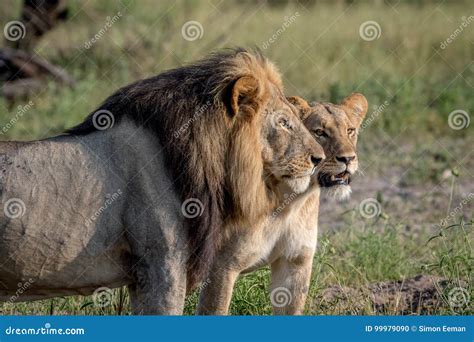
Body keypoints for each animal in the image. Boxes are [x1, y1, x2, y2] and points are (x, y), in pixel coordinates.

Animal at [196, 93, 366, 316]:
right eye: (319, 132)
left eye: (350, 131)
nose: (348, 158)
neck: (290, 202)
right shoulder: (221, 267)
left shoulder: (295, 263)